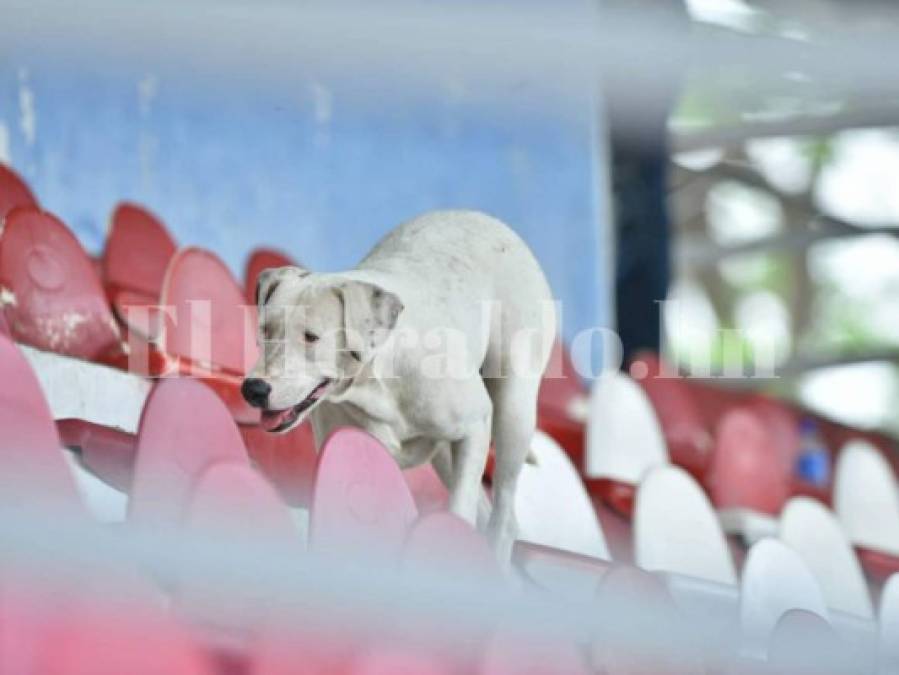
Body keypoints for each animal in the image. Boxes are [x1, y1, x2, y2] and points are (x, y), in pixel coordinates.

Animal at [241, 211, 556, 560]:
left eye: (311, 336)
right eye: (265, 330)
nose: (253, 389)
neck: (377, 377)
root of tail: (488, 219)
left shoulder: (475, 424)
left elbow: (459, 513)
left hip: (513, 412)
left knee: (503, 512)